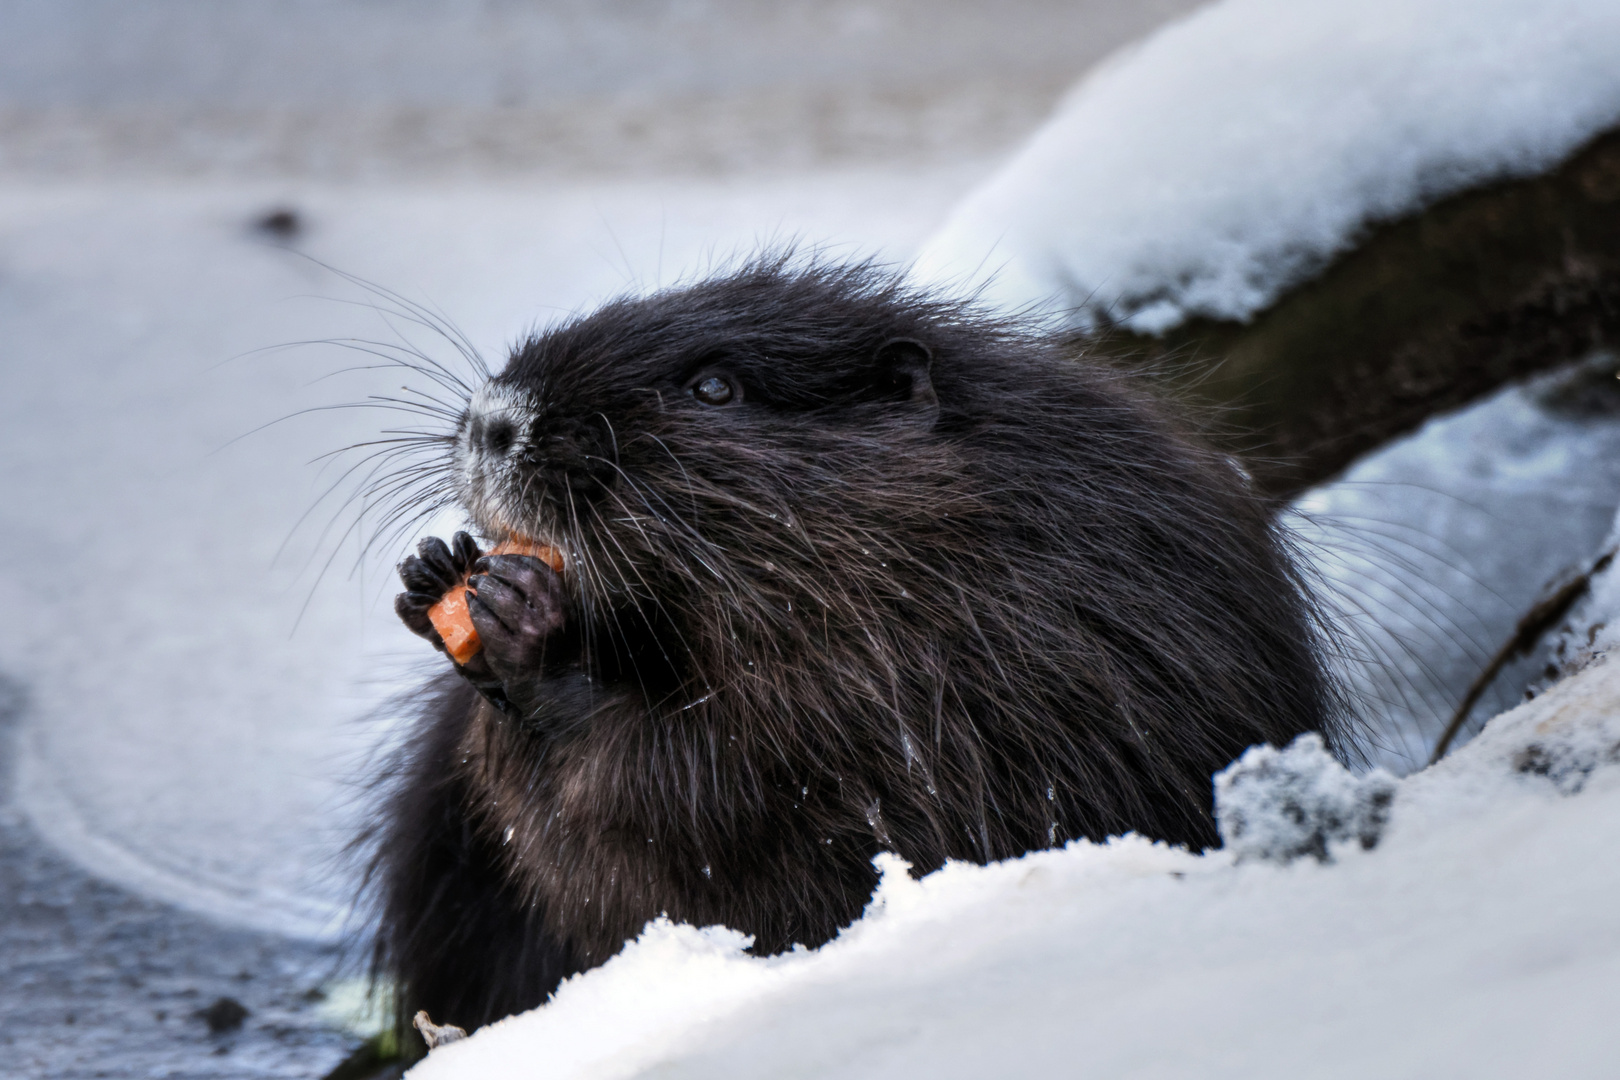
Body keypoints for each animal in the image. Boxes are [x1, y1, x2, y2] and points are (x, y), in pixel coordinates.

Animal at [372, 255, 1347, 1036]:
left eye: (715, 388)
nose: (494, 422)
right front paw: (435, 572)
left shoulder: (947, 680)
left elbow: (692, 823)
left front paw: (525, 630)